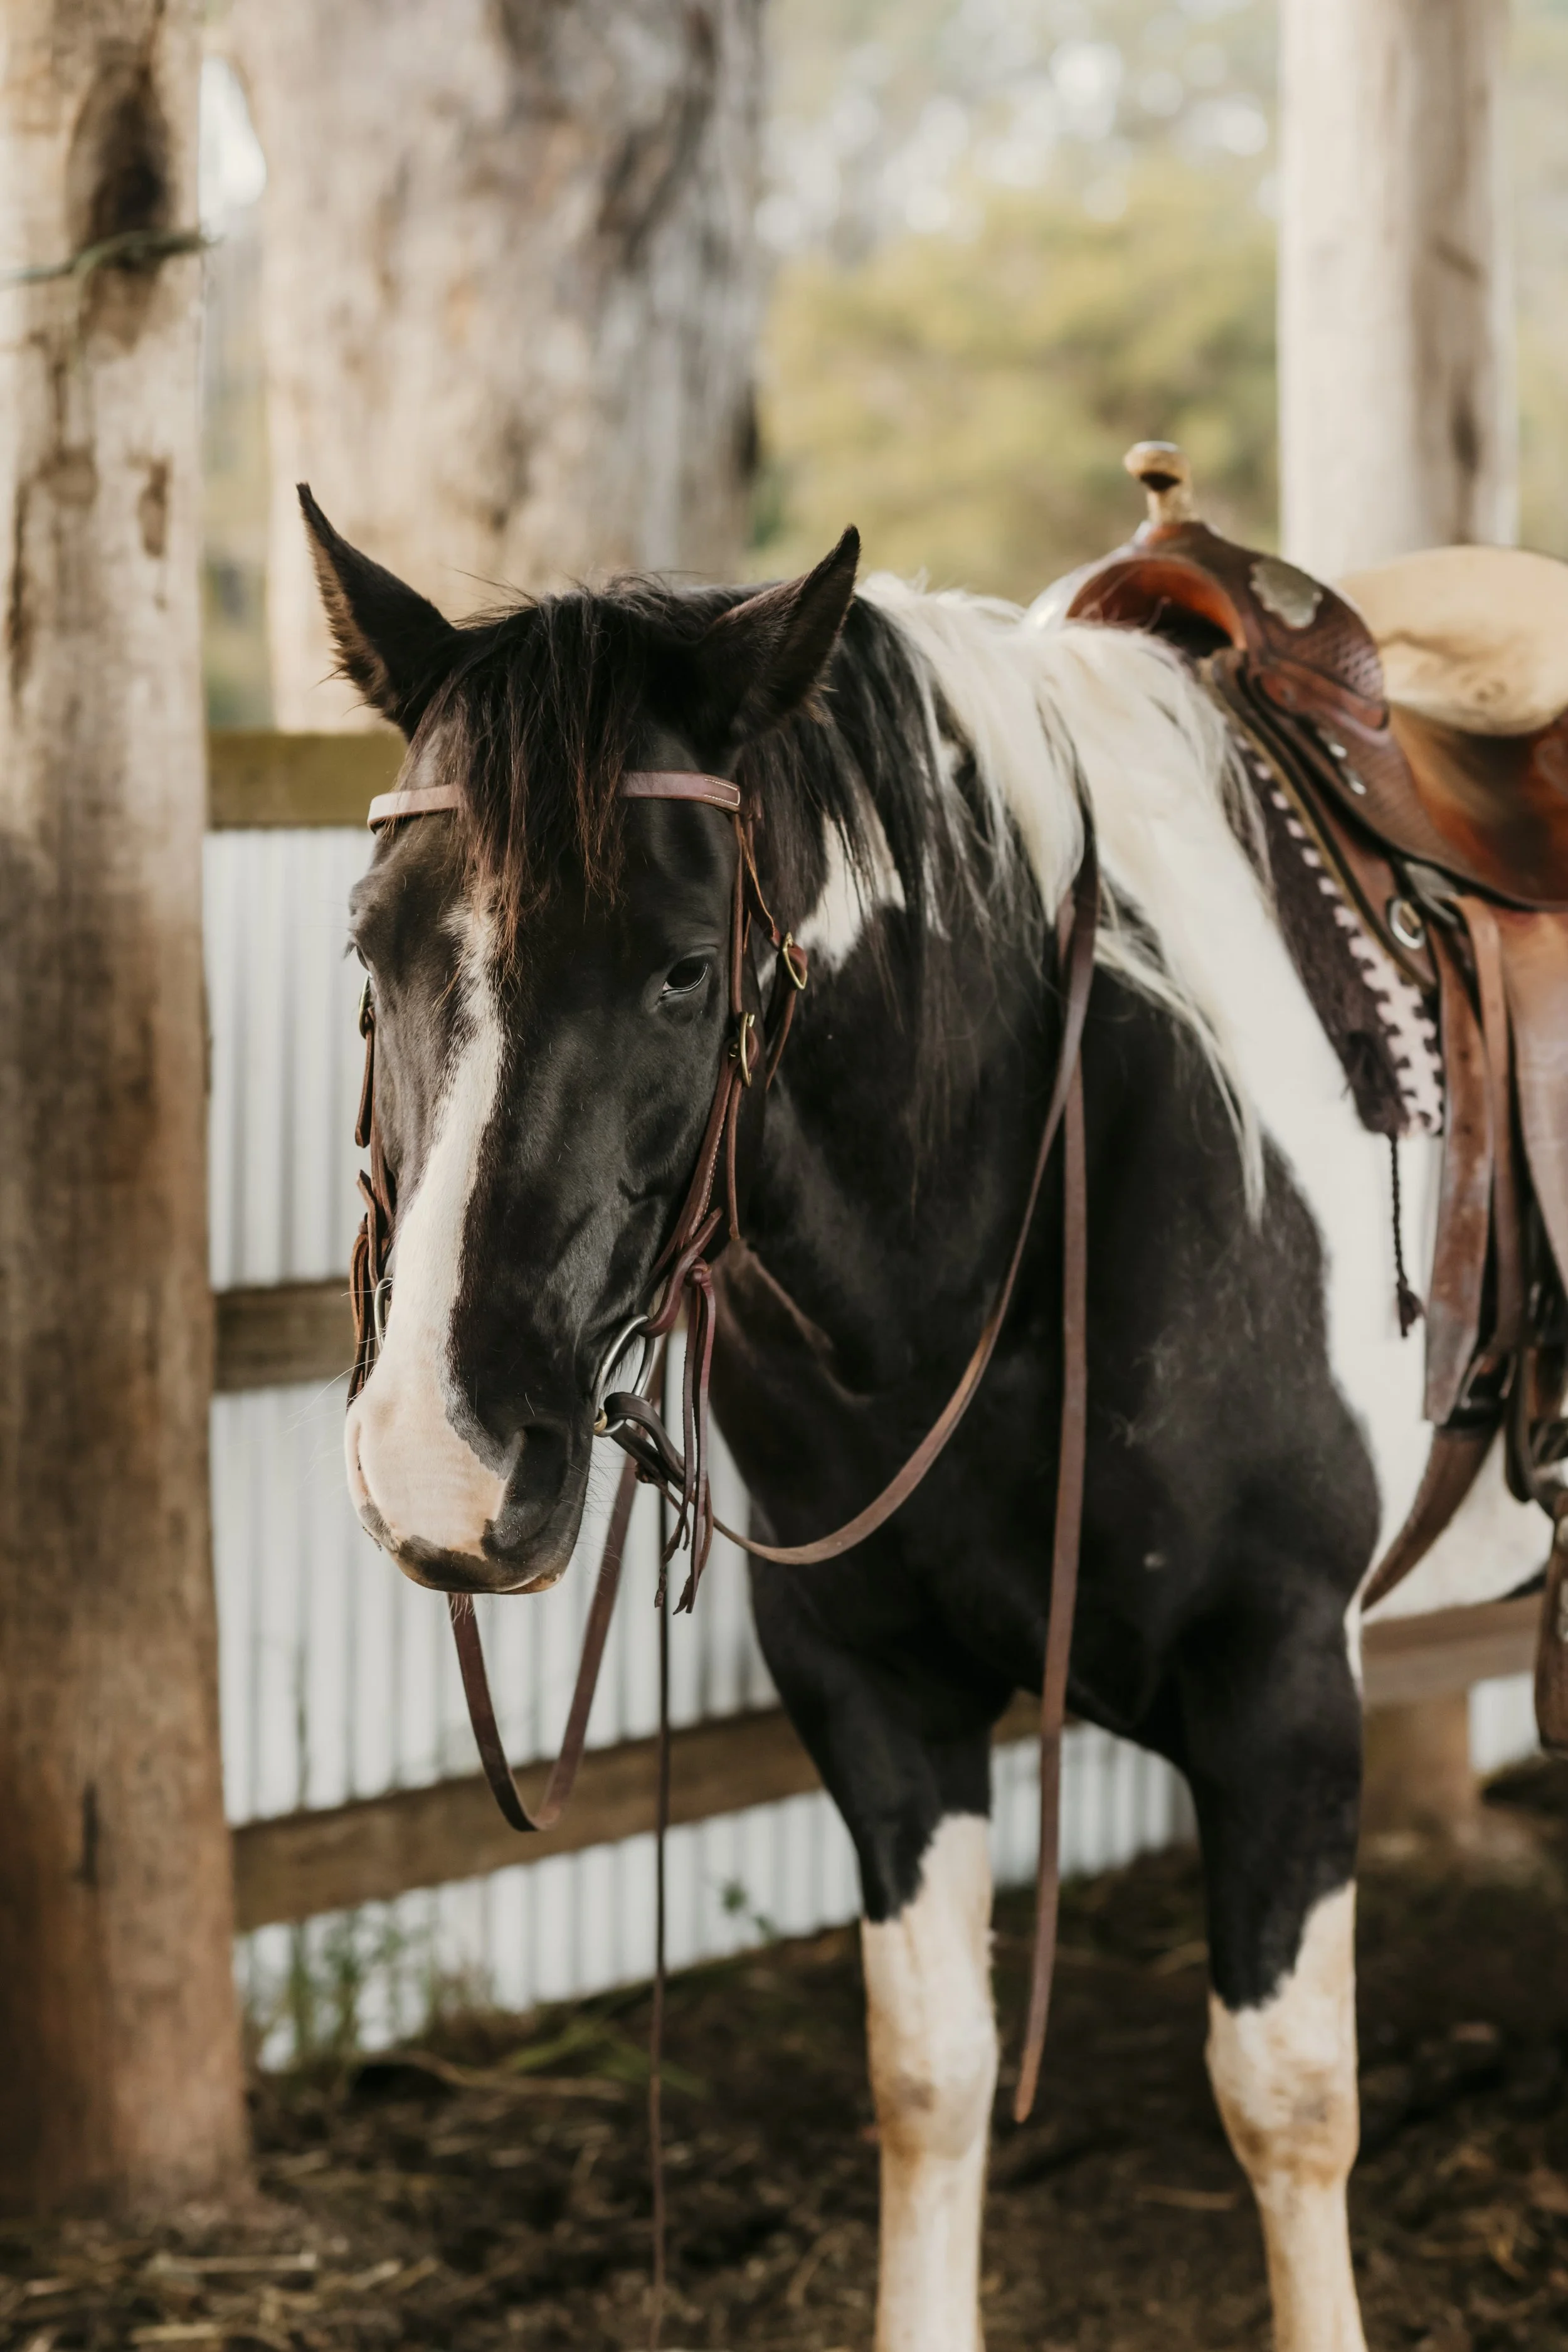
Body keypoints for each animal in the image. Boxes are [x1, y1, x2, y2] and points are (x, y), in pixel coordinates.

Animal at [304, 487, 1545, 2352]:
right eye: (370, 947)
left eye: (684, 971)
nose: (437, 1465)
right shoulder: (871, 1683)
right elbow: (930, 2073)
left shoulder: (1279, 1686)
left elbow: (1288, 2101)